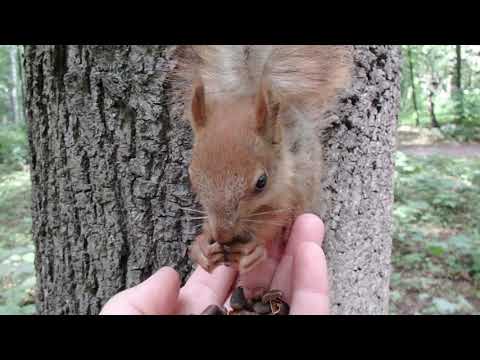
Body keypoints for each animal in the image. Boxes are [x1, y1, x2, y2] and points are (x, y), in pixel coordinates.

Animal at [172, 45, 352, 276]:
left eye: (261, 182)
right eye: (191, 178)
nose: (222, 235)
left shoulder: (288, 188)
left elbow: (275, 218)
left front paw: (253, 249)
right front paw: (201, 246)